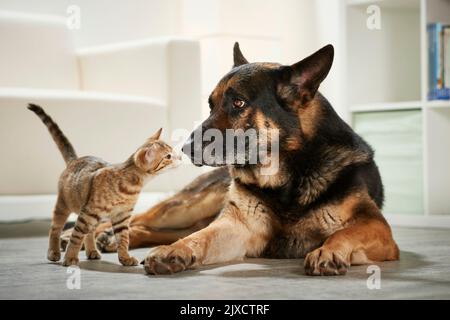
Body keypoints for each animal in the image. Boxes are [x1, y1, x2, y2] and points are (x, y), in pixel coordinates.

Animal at [27, 104, 179, 266]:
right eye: (168, 156)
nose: (180, 157)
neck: (130, 186)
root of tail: (74, 160)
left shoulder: (122, 217)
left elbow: (123, 239)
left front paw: (125, 257)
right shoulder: (87, 213)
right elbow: (76, 237)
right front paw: (70, 258)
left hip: (94, 216)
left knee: (89, 232)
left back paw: (92, 251)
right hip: (64, 206)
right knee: (55, 229)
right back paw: (53, 252)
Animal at [65, 42, 400, 276]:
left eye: (238, 103)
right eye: (211, 104)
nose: (185, 149)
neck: (288, 178)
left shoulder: (378, 228)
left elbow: (344, 232)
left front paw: (329, 252)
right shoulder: (237, 227)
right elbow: (200, 238)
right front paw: (175, 251)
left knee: (151, 227)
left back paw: (113, 238)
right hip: (187, 206)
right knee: (140, 219)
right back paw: (88, 235)